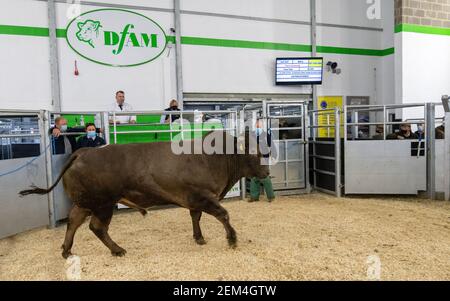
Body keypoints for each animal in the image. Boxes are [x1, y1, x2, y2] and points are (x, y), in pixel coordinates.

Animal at [19, 132, 268, 258]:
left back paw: (66, 250)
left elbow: (195, 217)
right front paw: (232, 239)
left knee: (73, 221)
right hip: (103, 204)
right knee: (96, 227)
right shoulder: (203, 196)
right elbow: (223, 214)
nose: (266, 172)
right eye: (256, 154)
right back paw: (117, 250)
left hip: (86, 202)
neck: (214, 157)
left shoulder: (194, 200)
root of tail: (84, 151)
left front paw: (199, 237)